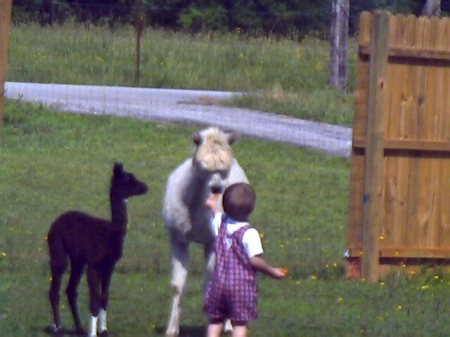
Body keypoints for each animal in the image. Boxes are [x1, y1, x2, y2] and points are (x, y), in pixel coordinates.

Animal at [162, 126, 248, 336]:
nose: (217, 188)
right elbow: (177, 285)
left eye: (225, 168)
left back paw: (228, 326)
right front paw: (172, 329)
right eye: (203, 165)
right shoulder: (177, 239)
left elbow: (211, 282)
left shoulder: (211, 241)